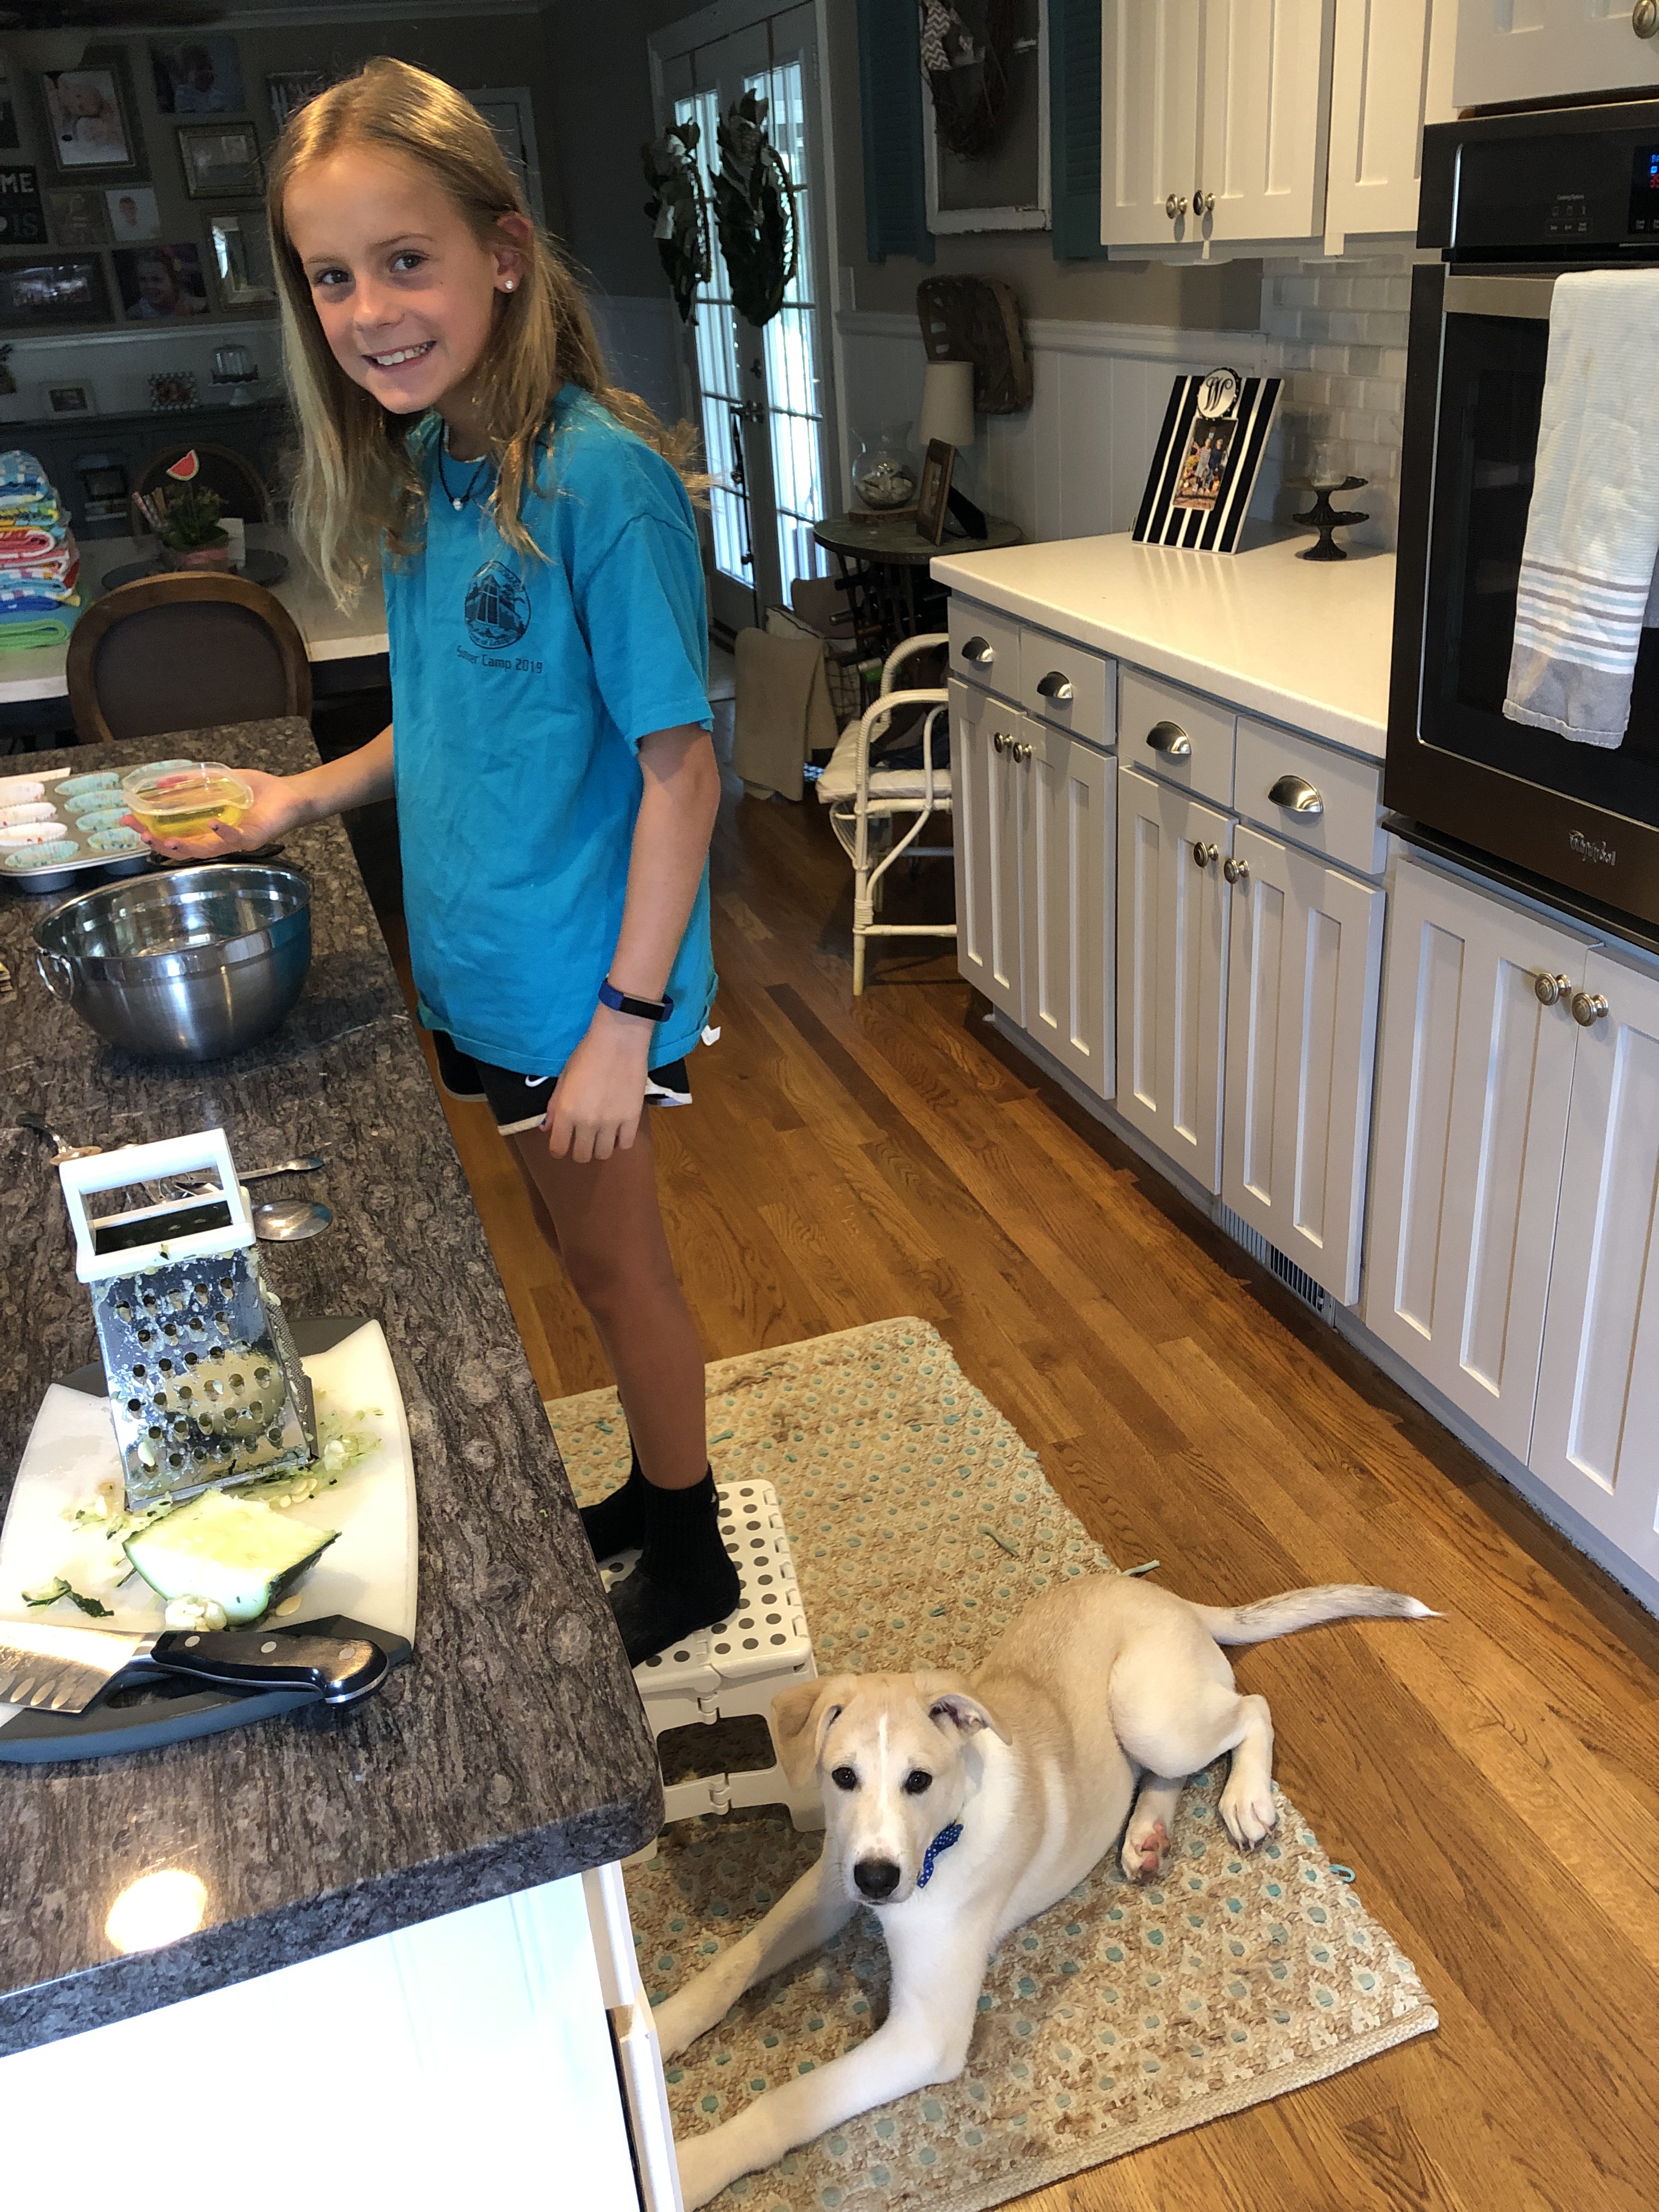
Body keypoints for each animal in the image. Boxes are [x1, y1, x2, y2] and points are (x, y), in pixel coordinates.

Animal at [655, 1570, 1435, 2209]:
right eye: (843, 1777)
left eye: (919, 1780)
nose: (877, 1881)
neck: (944, 1837)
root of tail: (1166, 1597)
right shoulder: (827, 1886)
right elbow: (733, 1964)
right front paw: (652, 2030)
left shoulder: (926, 2032)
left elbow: (791, 2102)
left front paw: (686, 2167)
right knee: (1167, 1770)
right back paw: (1146, 1835)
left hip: (1146, 1709)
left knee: (1253, 1708)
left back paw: (1245, 1798)